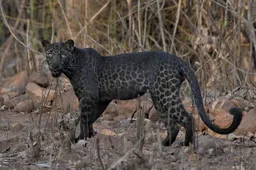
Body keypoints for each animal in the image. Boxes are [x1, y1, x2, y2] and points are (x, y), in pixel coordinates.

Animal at [41, 39, 242, 146]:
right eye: (50, 54)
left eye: (62, 55)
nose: (54, 65)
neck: (71, 68)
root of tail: (178, 60)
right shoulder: (101, 100)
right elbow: (90, 118)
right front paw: (88, 136)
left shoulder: (88, 97)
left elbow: (83, 118)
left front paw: (80, 138)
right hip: (159, 97)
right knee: (172, 123)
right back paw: (165, 144)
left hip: (165, 95)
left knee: (186, 117)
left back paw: (186, 144)